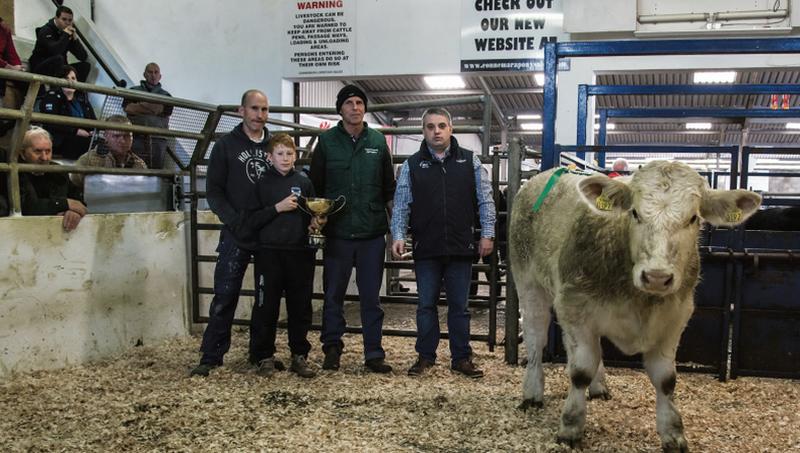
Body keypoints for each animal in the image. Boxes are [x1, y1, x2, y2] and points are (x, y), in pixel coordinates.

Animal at [510, 161, 760, 450]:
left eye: (693, 219)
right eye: (635, 213)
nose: (657, 276)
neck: (640, 302)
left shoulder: (675, 317)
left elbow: (666, 379)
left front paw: (673, 433)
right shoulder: (575, 307)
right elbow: (580, 371)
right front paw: (570, 426)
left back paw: (598, 387)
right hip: (529, 284)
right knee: (535, 340)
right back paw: (532, 393)